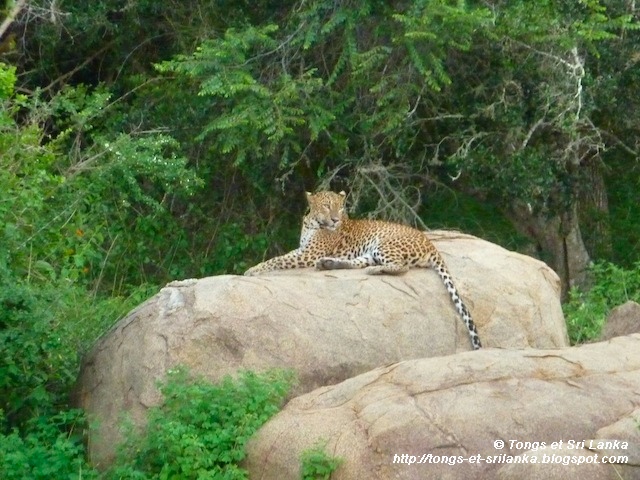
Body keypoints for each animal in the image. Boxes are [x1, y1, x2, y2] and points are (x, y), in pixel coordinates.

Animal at [244, 189, 480, 350]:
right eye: (327, 206)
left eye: (340, 207)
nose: (335, 219)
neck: (311, 222)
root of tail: (430, 244)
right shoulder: (304, 250)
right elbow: (280, 257)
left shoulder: (308, 254)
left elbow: (277, 259)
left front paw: (251, 270)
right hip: (370, 252)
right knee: (360, 263)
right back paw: (330, 264)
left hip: (384, 244)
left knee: (401, 267)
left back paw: (375, 271)